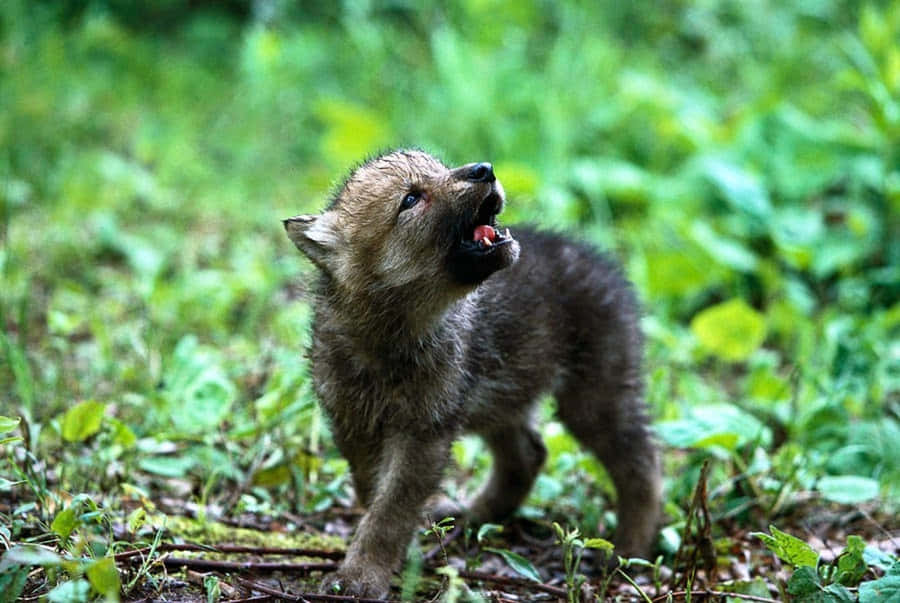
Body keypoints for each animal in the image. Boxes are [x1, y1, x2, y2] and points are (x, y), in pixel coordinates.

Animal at [284, 149, 661, 597]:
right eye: (410, 199)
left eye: (440, 166)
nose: (485, 169)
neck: (391, 338)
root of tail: (600, 260)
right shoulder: (353, 424)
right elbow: (370, 492)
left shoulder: (424, 431)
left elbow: (389, 511)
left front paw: (361, 576)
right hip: (504, 398)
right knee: (530, 455)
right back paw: (473, 517)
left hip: (594, 395)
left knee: (643, 461)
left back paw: (627, 553)